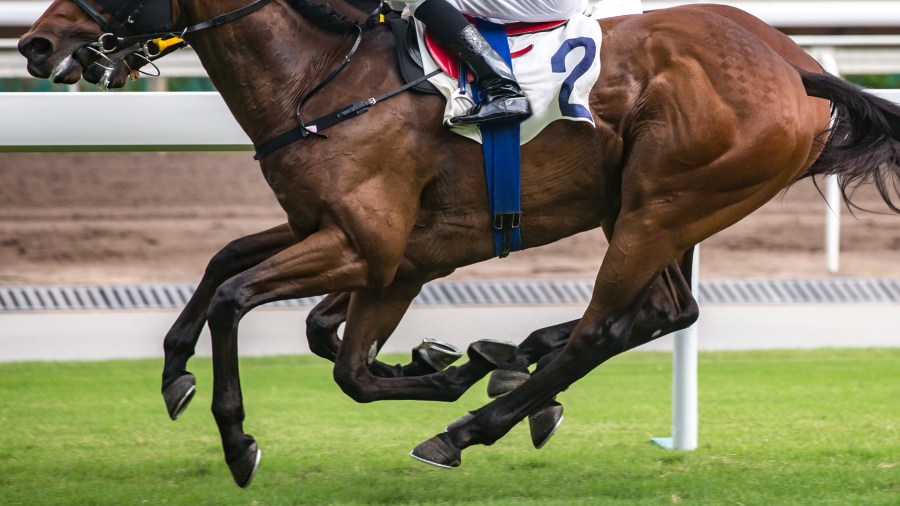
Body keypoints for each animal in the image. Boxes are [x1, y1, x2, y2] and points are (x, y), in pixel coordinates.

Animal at [21, 0, 900, 486]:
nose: (35, 44)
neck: (327, 77)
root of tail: (793, 64)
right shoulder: (360, 243)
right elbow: (237, 271)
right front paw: (176, 369)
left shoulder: (372, 249)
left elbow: (246, 303)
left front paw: (239, 440)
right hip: (651, 208)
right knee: (662, 312)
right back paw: (510, 368)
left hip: (664, 205)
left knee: (607, 327)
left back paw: (471, 424)